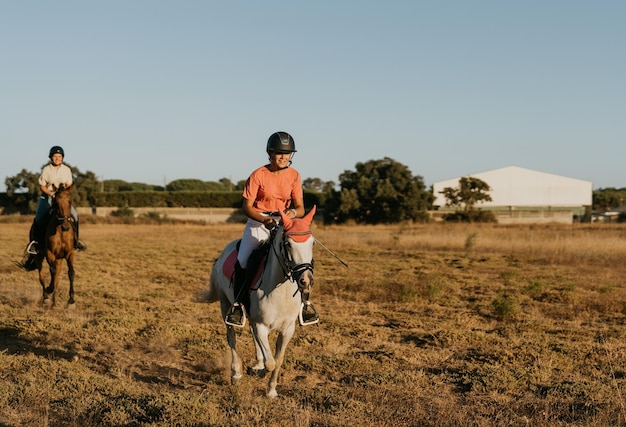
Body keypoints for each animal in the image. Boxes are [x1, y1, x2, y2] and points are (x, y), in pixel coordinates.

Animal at [208, 206, 316, 398]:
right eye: (288, 244)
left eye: (312, 243)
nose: (306, 280)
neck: (280, 291)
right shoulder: (261, 326)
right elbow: (270, 363)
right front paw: (259, 373)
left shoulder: (288, 329)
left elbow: (278, 360)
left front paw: (271, 390)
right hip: (225, 304)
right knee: (232, 337)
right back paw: (236, 373)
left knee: (252, 335)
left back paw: (257, 363)